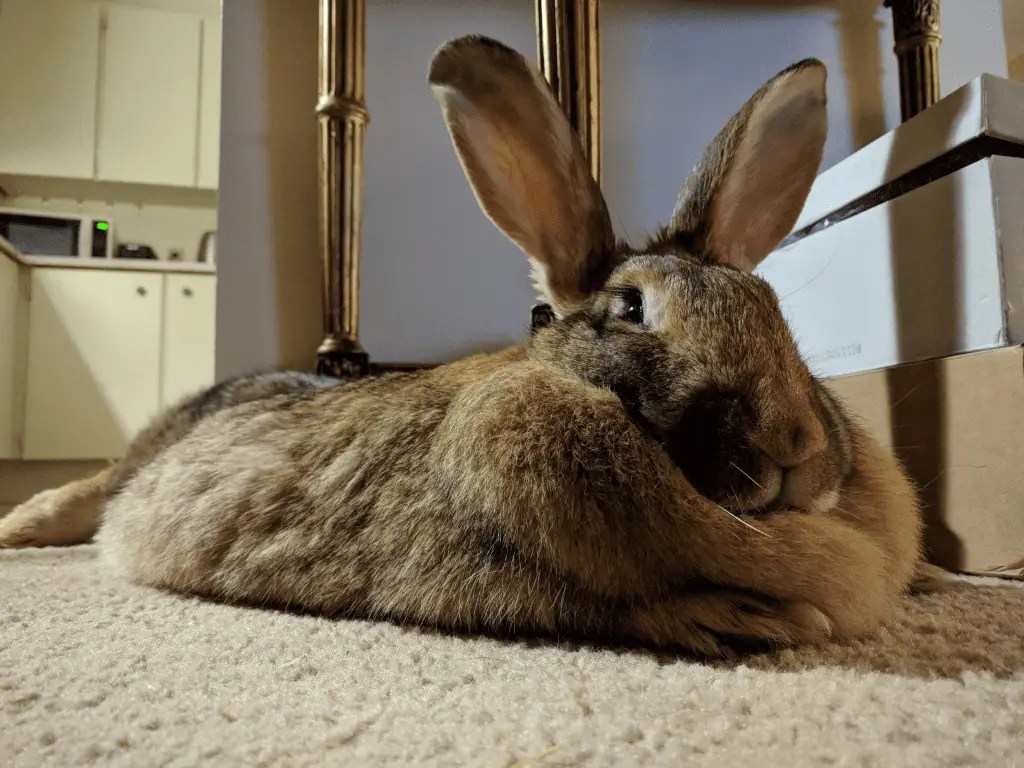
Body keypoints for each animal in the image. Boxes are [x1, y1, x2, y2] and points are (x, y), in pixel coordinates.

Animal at [0, 35, 936, 656]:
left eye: (772, 305)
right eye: (630, 308)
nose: (798, 447)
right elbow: (612, 605)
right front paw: (746, 620)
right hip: (129, 471)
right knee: (89, 492)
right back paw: (20, 529)